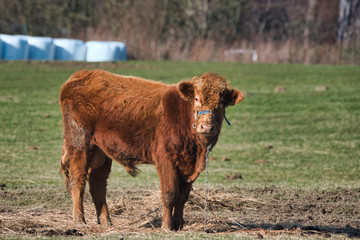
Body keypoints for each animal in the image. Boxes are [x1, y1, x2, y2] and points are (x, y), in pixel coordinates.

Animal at [59, 70, 245, 230]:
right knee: (78, 181)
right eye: (197, 99)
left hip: (101, 153)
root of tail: (81, 75)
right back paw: (79, 220)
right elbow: (170, 194)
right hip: (79, 144)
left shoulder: (189, 166)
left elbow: (183, 197)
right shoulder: (166, 160)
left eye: (221, 102)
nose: (206, 127)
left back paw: (106, 222)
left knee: (98, 185)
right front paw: (167, 226)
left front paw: (179, 224)